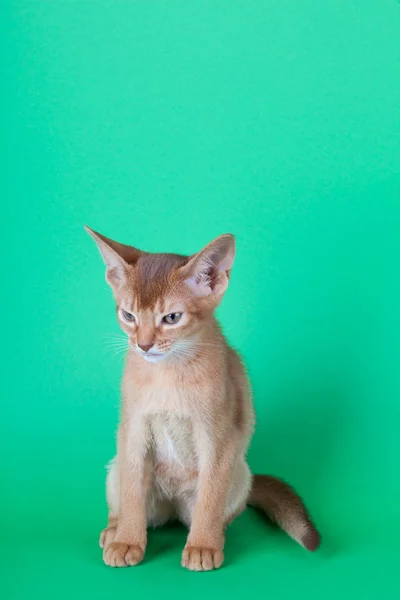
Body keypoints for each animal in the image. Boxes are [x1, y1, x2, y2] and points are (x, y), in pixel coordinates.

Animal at [86, 227, 320, 568]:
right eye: (128, 315)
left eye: (171, 318)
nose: (143, 345)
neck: (167, 375)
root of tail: (171, 508)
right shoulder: (134, 430)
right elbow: (131, 496)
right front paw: (127, 541)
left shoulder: (218, 438)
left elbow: (210, 499)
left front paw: (203, 547)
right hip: (116, 466)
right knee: (126, 503)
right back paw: (114, 531)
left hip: (238, 474)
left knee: (215, 510)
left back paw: (214, 537)